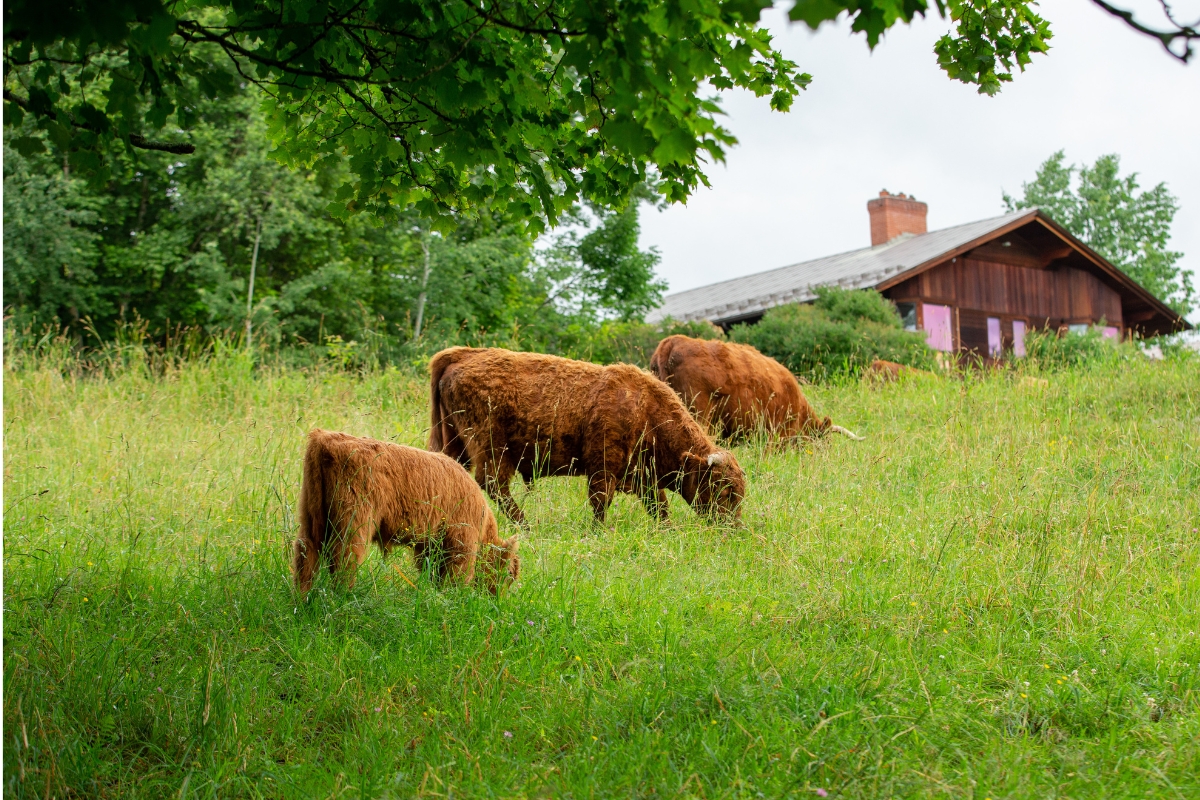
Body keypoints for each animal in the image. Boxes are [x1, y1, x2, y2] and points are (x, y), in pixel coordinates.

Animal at [293, 429, 519, 596]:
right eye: (508, 574)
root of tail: (324, 439)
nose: (496, 600)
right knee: (343, 559)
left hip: (311, 516)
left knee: (306, 553)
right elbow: (458, 576)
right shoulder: (461, 543)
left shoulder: (430, 545)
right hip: (354, 523)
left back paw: (302, 599)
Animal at [427, 347, 744, 525]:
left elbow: (659, 506)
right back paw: (525, 525)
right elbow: (601, 502)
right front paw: (599, 530)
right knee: (493, 485)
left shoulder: (642, 476)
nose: (732, 527)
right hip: (491, 447)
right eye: (724, 490)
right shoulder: (603, 467)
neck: (647, 410)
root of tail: (463, 355)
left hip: (455, 443)